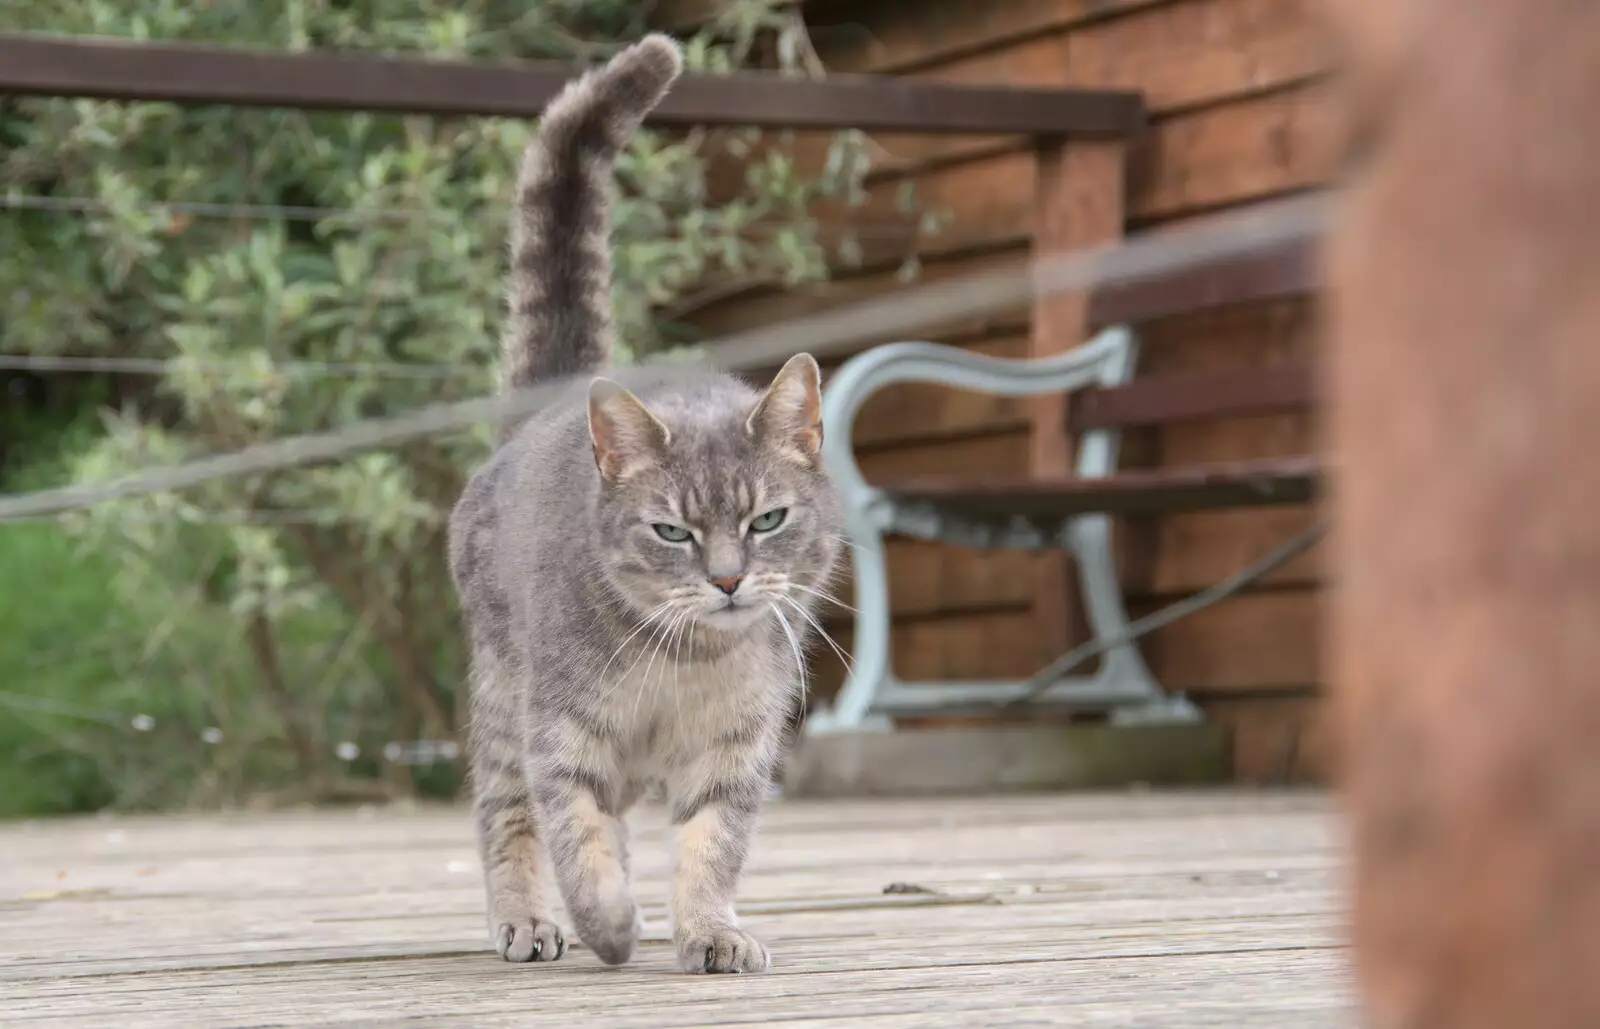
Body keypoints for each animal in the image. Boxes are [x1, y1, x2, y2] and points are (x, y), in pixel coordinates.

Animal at [444, 36, 844, 979]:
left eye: (766, 520)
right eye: (672, 530)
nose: (729, 580)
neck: (689, 661)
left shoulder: (736, 749)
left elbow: (711, 846)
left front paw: (710, 930)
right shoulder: (561, 734)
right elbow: (577, 838)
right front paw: (610, 923)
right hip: (502, 698)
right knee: (507, 815)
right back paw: (527, 920)